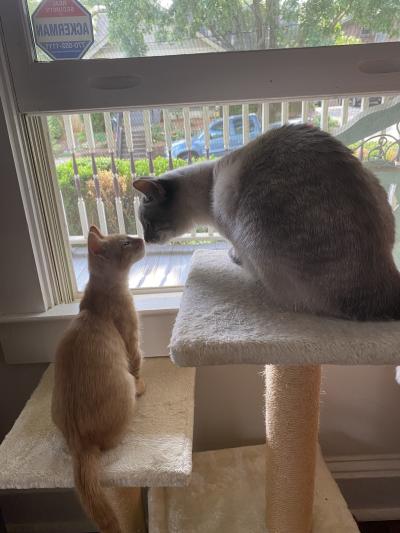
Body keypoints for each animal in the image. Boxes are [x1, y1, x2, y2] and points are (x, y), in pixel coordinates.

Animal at [51, 224, 145, 532]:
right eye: (126, 242)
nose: (142, 238)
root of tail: (79, 442)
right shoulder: (131, 340)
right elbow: (138, 365)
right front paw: (142, 386)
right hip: (123, 391)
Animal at [133, 122, 398, 318]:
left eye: (147, 223)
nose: (146, 239)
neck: (209, 185)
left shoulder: (229, 224)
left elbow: (234, 250)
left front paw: (234, 258)